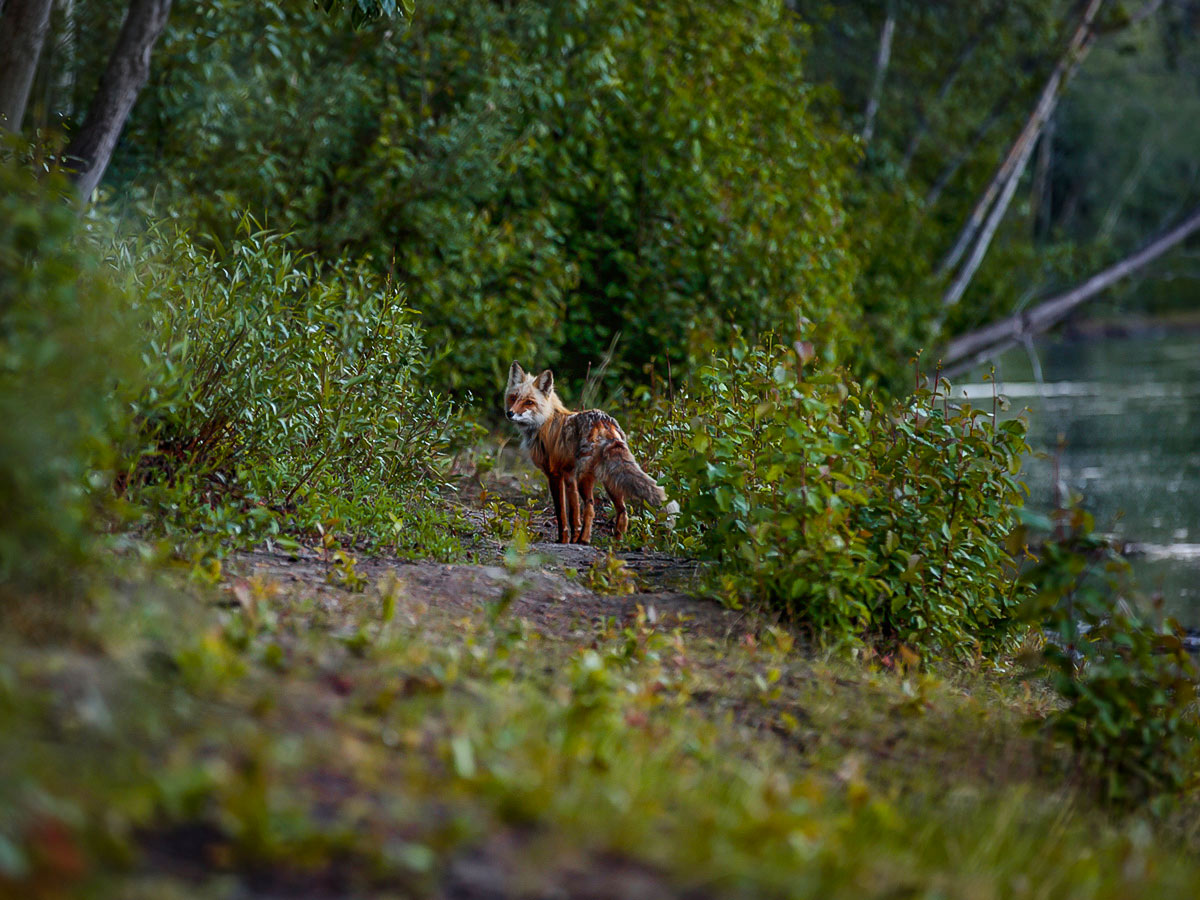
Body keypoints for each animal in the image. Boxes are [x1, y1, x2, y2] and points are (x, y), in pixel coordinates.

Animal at [504, 362, 676, 547]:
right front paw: (572, 539)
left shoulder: (554, 474)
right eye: (513, 397)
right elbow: (574, 514)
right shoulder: (569, 476)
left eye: (529, 402)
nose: (510, 413)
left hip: (585, 478)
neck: (546, 421)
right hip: (610, 481)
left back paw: (585, 540)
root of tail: (604, 421)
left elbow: (562, 514)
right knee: (623, 511)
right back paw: (615, 542)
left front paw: (563, 540)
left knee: (591, 507)